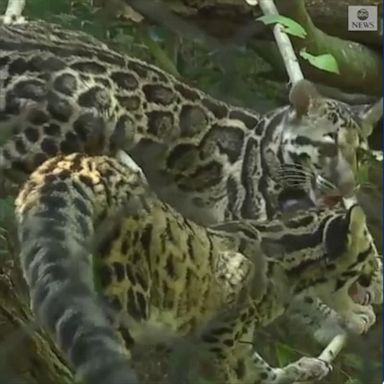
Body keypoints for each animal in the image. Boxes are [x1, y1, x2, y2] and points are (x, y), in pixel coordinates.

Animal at [15, 152, 380, 384]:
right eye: (374, 260)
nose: (377, 293)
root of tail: (81, 161)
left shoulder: (240, 337)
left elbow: (261, 369)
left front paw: (303, 368)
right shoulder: (220, 336)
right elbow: (235, 375)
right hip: (125, 299)